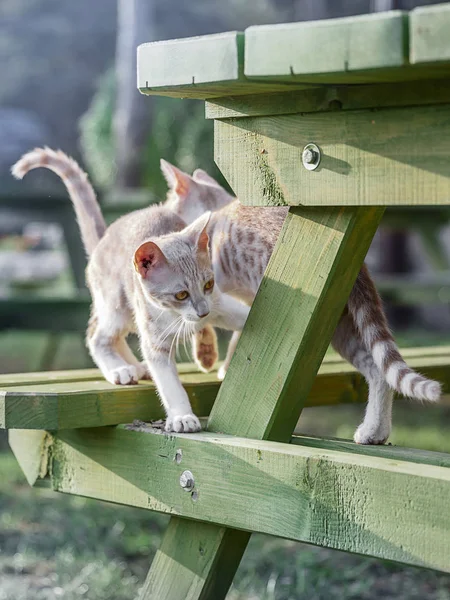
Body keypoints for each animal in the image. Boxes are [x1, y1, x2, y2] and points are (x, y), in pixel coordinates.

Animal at [11, 148, 250, 434]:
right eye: (180, 295)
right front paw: (182, 416)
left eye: (208, 284)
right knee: (97, 336)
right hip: (117, 305)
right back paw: (120, 369)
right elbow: (169, 384)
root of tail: (103, 240)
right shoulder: (155, 340)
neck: (178, 317)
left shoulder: (219, 304)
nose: (202, 312)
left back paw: (135, 366)